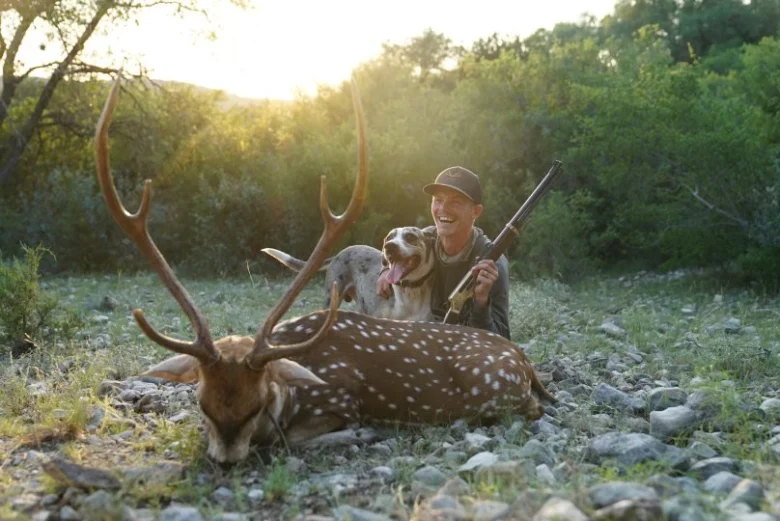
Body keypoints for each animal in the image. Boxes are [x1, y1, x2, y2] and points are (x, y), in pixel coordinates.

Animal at [95, 77, 556, 464]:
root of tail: (525, 361)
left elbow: (291, 439)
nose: (225, 459)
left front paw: (360, 433)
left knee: (531, 406)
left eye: (256, 405)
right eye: (201, 403)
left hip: (494, 387)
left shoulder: (339, 399)